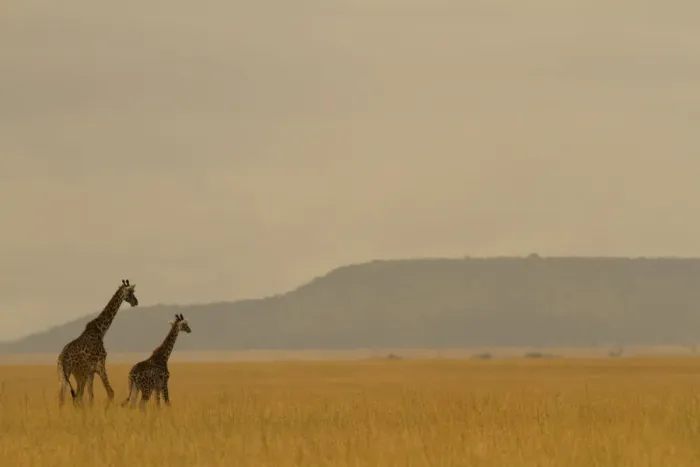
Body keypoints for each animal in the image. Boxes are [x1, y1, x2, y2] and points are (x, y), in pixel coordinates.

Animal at [57, 279, 139, 407]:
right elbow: (110, 393)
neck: (101, 330)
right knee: (77, 396)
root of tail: (62, 359)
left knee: (64, 397)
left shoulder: (91, 372)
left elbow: (91, 396)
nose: (136, 302)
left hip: (64, 375)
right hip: (80, 374)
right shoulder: (100, 365)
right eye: (131, 292)